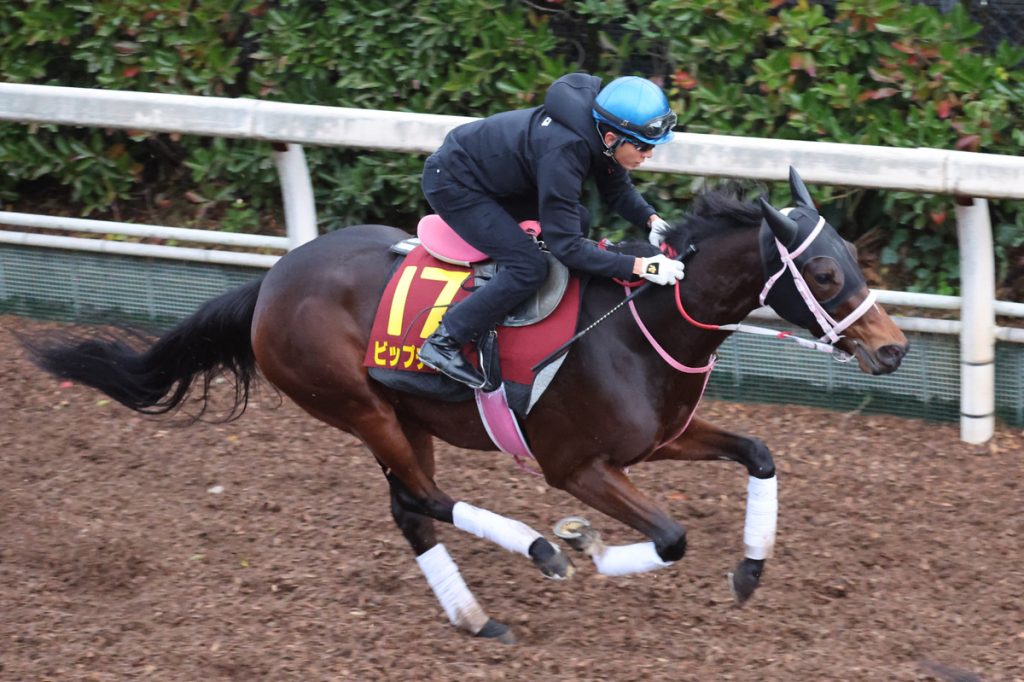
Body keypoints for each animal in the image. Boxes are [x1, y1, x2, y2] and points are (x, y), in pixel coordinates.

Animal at [24, 165, 905, 643]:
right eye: (823, 273)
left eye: (854, 259)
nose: (893, 348)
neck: (639, 324)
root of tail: (270, 283)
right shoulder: (574, 465)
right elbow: (671, 537)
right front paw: (588, 547)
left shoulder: (657, 441)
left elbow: (759, 453)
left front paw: (750, 571)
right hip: (360, 407)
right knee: (423, 498)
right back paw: (541, 550)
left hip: (403, 416)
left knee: (410, 509)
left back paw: (477, 617)